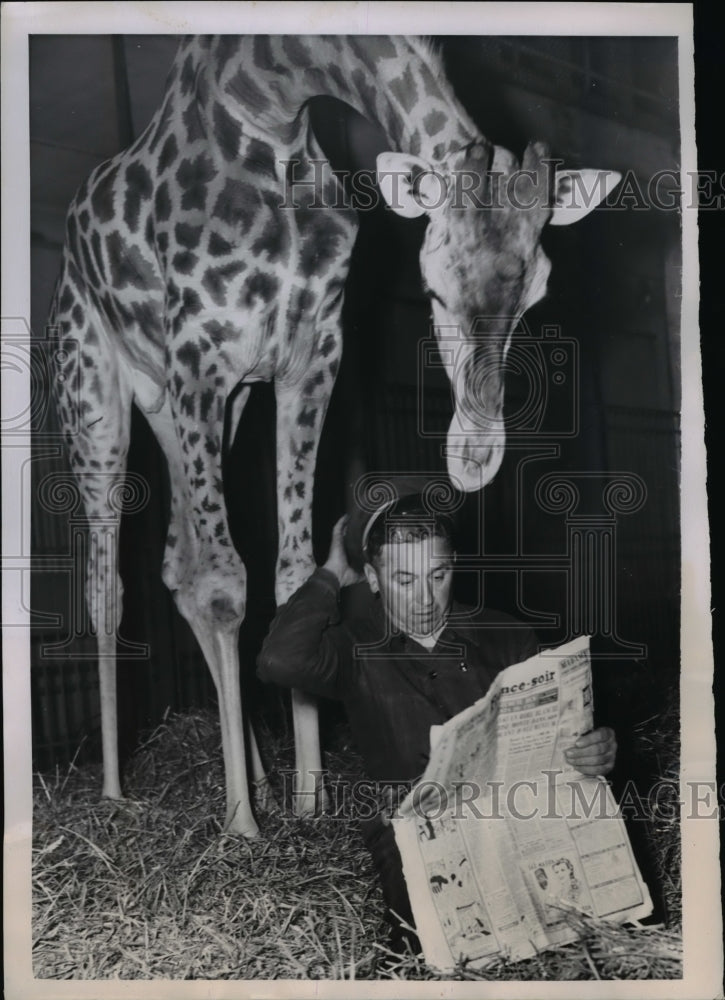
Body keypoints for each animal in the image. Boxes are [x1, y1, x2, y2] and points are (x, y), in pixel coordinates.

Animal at [49, 35, 619, 838]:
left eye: (537, 291)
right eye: (431, 285)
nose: (475, 458)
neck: (271, 103)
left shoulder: (309, 352)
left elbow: (286, 577)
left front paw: (308, 798)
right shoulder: (202, 347)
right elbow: (224, 585)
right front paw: (242, 823)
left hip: (189, 403)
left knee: (176, 562)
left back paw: (255, 770)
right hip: (96, 382)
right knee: (110, 583)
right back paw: (113, 790)